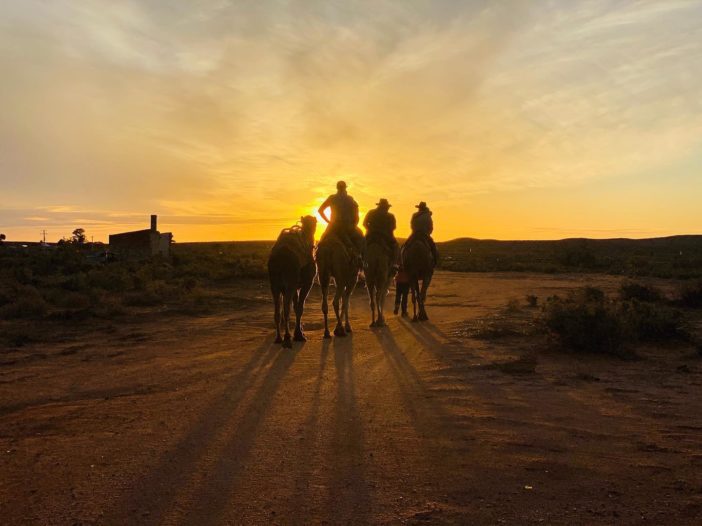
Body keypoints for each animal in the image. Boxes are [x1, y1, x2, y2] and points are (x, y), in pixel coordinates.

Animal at [268, 217, 318, 348]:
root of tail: (279, 258)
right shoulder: (307, 283)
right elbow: (299, 307)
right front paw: (299, 335)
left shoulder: (295, 286)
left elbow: (296, 306)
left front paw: (298, 333)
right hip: (289, 282)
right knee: (286, 308)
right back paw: (286, 338)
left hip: (274, 285)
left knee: (277, 310)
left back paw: (278, 338)